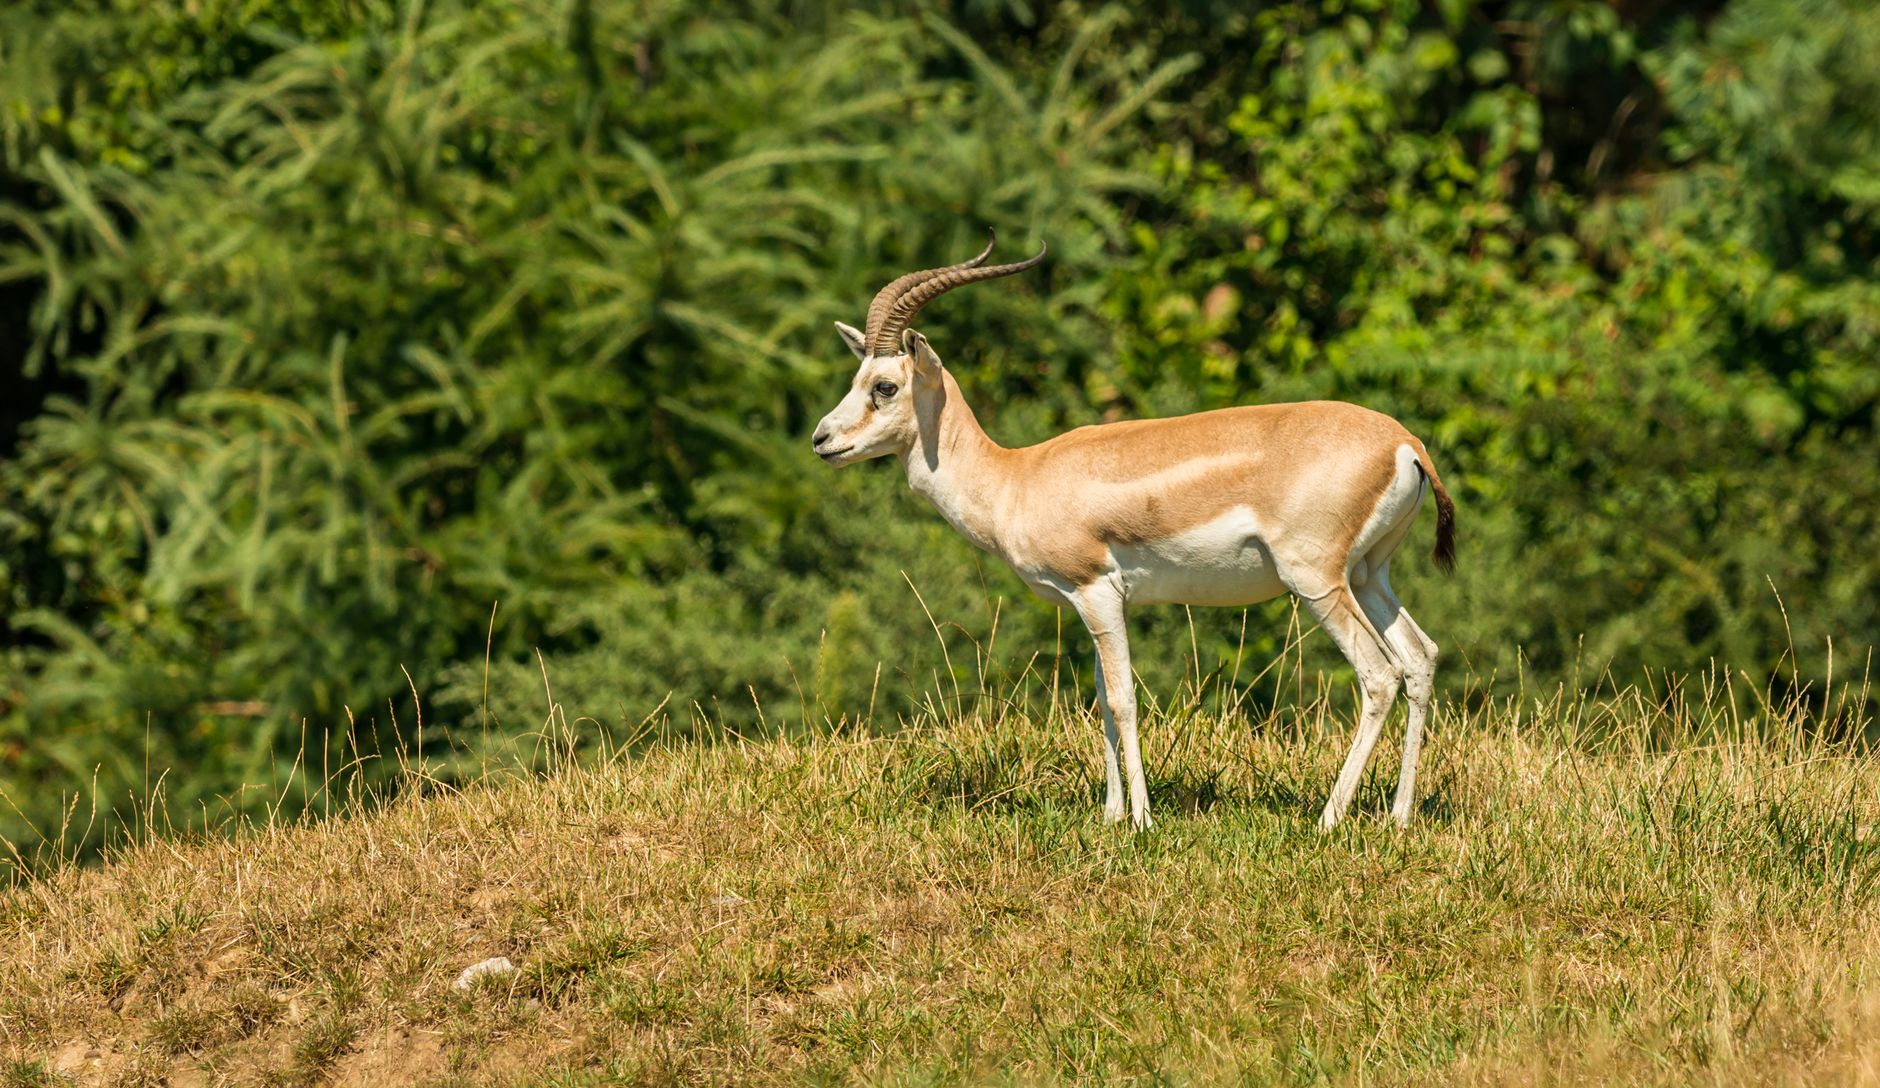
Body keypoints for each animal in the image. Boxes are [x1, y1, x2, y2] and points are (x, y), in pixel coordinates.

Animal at [813, 234, 1456, 831]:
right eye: (856, 377)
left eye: (884, 386)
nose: (822, 440)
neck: (1015, 478)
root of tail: (1405, 443)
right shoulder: (1093, 603)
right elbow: (1100, 699)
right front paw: (1112, 814)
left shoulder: (1096, 590)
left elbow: (1123, 700)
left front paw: (1143, 820)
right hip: (1368, 575)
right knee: (1420, 658)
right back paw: (1398, 817)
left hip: (1317, 582)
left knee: (1379, 675)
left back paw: (1328, 818)